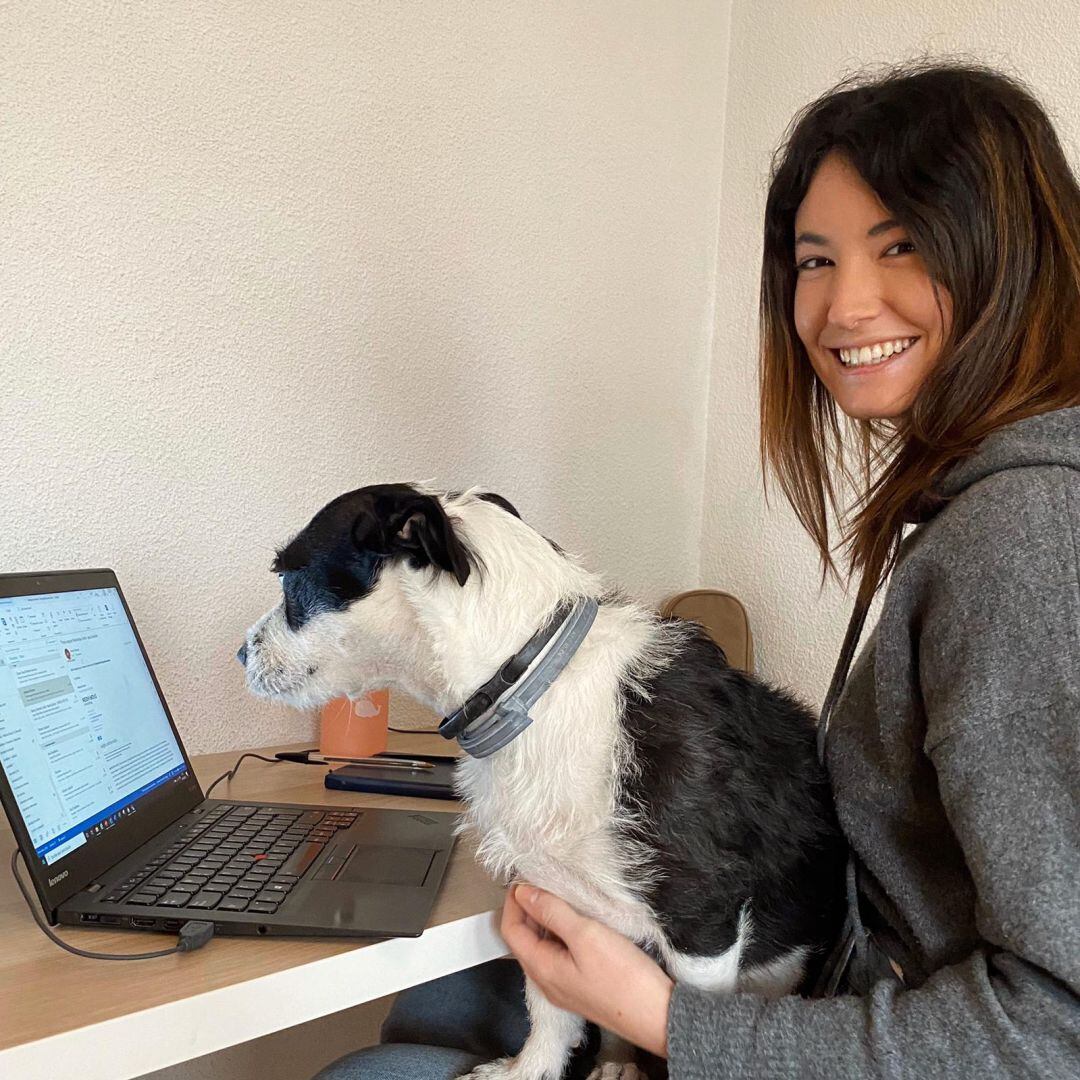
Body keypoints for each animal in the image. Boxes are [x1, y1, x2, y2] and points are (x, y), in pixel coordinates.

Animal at [240, 483, 846, 1080]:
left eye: (289, 579)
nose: (242, 653)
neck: (528, 689)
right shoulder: (551, 895)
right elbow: (549, 1008)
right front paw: (529, 1070)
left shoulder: (701, 922)